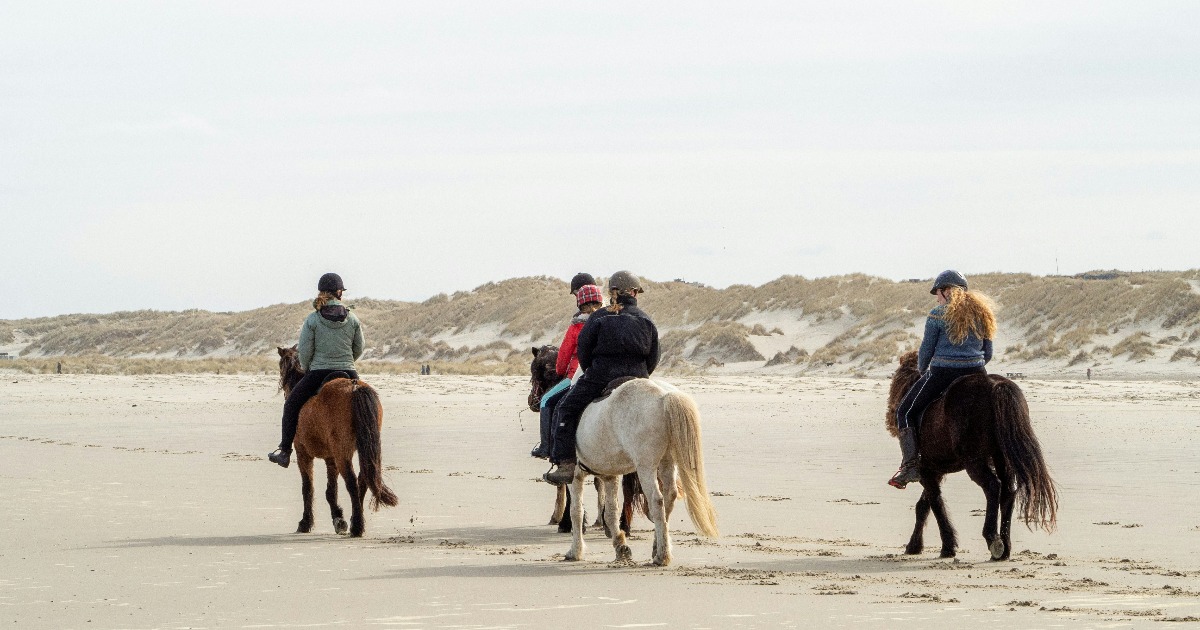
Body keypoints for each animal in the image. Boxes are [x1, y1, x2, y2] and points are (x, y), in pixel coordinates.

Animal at [277, 346, 398, 537]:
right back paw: (356, 520)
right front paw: (339, 519)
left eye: (281, 365)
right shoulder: (330, 457)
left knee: (352, 482)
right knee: (363, 479)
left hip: (342, 453)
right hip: (360, 450)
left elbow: (308, 488)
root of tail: (354, 386)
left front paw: (305, 523)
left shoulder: (303, 453)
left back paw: (357, 526)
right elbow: (331, 491)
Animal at [886, 350, 1058, 560]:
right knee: (1008, 490)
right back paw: (1005, 547)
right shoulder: (935, 470)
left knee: (993, 486)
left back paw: (992, 539)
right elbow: (924, 505)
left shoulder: (926, 469)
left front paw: (947, 546)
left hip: (974, 461)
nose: (891, 414)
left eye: (899, 379)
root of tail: (995, 386)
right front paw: (915, 545)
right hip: (1001, 458)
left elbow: (935, 503)